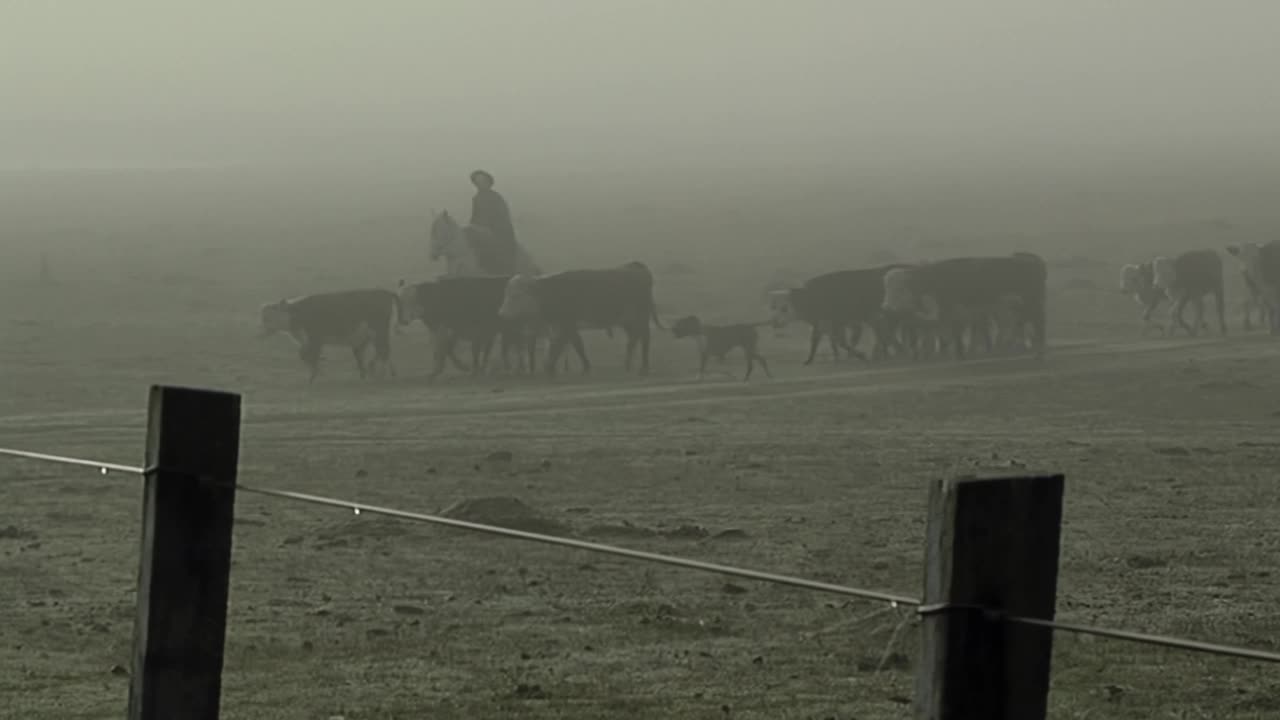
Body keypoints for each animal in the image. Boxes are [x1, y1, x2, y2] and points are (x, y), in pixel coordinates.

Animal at [259, 288, 399, 384]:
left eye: (268, 317)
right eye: (264, 318)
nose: (261, 333)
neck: (297, 313)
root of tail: (382, 292)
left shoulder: (315, 339)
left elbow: (308, 355)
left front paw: (314, 375)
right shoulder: (308, 341)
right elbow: (305, 355)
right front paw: (315, 373)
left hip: (379, 332)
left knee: (384, 351)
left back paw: (380, 374)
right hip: (370, 336)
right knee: (379, 353)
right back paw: (377, 373)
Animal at [496, 258, 665, 376]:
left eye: (516, 296)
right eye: (506, 294)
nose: (501, 314)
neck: (550, 292)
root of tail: (634, 266)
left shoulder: (567, 324)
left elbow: (565, 345)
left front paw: (551, 367)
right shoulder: (563, 325)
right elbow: (573, 344)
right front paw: (582, 367)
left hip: (640, 316)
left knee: (644, 338)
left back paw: (643, 367)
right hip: (627, 320)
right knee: (633, 338)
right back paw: (628, 365)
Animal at [762, 263, 916, 363]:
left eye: (784, 308)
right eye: (773, 306)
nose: (774, 322)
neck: (812, 297)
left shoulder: (839, 321)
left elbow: (841, 340)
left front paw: (860, 355)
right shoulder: (823, 324)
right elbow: (818, 341)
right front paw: (809, 360)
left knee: (893, 333)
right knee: (890, 333)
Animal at [880, 252, 1049, 358]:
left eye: (900, 288)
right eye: (886, 288)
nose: (886, 307)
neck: (935, 277)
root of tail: (1034, 262)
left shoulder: (951, 308)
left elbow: (953, 329)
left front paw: (958, 352)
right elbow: (948, 329)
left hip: (1031, 302)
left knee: (1037, 322)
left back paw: (1038, 351)